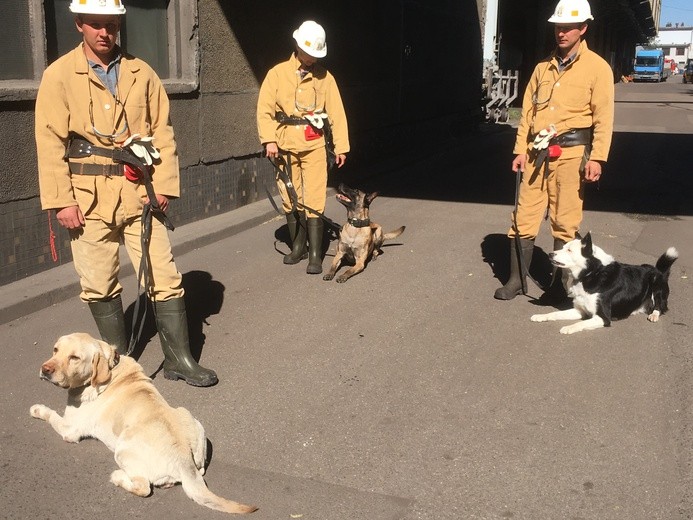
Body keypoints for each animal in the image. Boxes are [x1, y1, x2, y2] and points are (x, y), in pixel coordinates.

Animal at [29, 334, 256, 516]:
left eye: (74, 358)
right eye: (55, 350)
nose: (45, 369)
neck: (110, 367)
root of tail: (183, 459)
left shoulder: (70, 429)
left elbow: (51, 414)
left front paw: (37, 409)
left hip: (123, 447)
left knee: (143, 487)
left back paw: (118, 477)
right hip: (191, 420)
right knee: (199, 472)